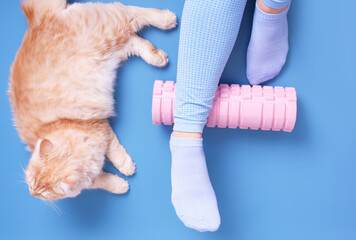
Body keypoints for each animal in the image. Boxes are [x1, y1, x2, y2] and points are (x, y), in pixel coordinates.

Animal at [7, 0, 176, 201]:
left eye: (43, 193)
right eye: (32, 183)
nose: (31, 193)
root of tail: (37, 21)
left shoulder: (100, 127)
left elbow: (115, 152)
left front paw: (126, 166)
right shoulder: (90, 175)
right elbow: (103, 182)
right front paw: (121, 184)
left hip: (110, 30)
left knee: (133, 12)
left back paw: (167, 19)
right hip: (112, 50)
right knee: (136, 41)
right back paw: (157, 57)